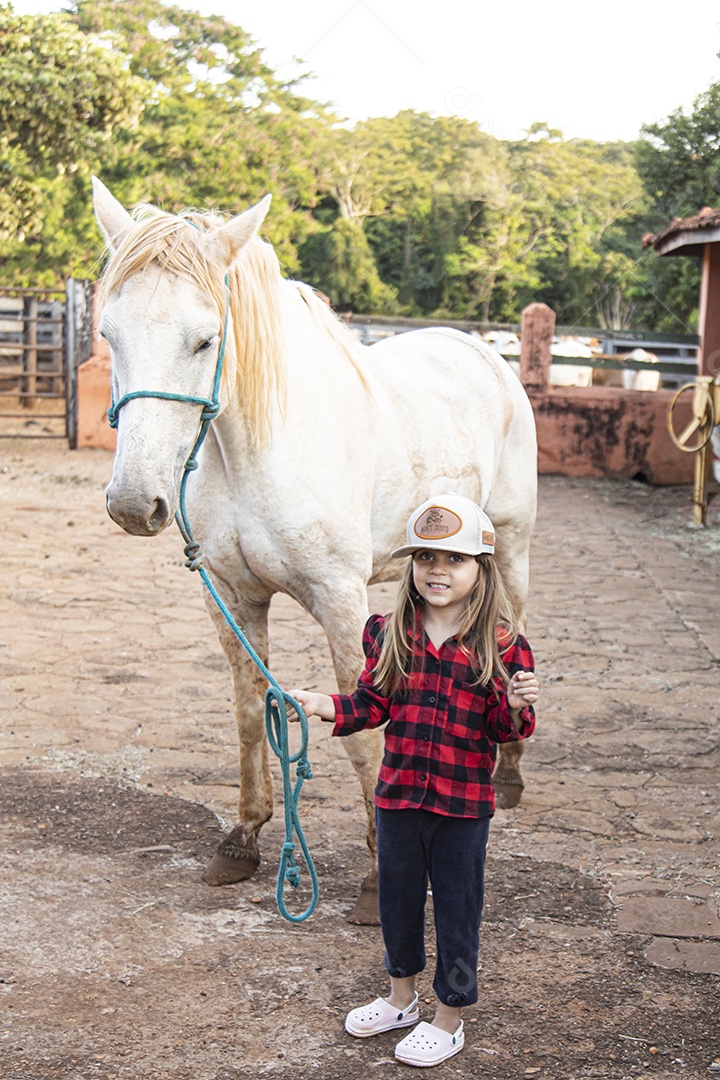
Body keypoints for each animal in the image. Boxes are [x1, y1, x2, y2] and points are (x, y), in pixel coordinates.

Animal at [92, 177, 538, 924]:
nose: (133, 503)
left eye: (205, 340)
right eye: (108, 333)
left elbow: (363, 738)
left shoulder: (338, 601)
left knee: (513, 638)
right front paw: (242, 840)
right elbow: (251, 712)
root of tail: (481, 352)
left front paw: (376, 881)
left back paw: (507, 777)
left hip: (511, 550)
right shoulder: (232, 596)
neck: (258, 447)